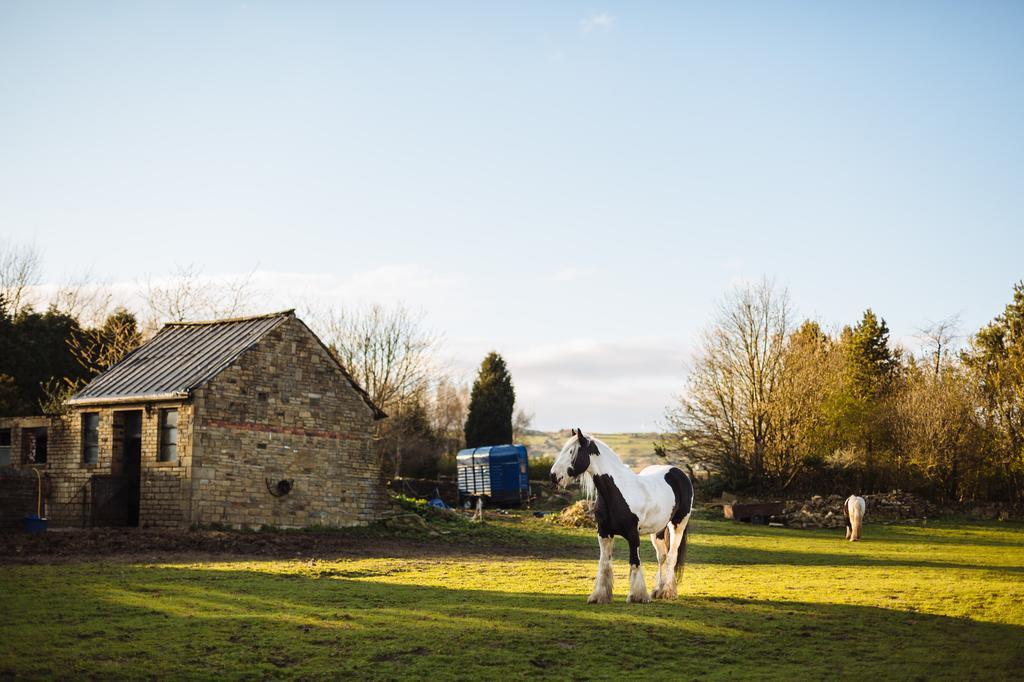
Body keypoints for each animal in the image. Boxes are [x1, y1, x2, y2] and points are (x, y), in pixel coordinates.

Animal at [548, 428, 692, 602]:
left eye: (572, 452)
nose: (554, 476)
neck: (616, 492)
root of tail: (679, 473)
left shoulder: (633, 535)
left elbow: (635, 562)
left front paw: (637, 596)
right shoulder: (604, 533)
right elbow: (604, 563)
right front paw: (599, 596)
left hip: (678, 525)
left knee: (672, 556)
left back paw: (668, 592)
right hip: (658, 530)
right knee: (662, 556)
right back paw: (658, 590)